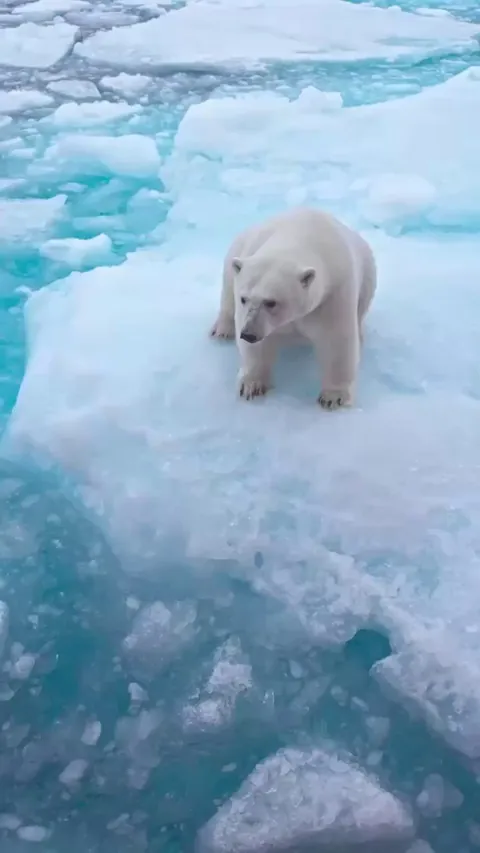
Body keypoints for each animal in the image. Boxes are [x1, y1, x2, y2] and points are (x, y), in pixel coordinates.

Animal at [210, 206, 376, 410]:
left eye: (271, 302)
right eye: (244, 298)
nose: (248, 334)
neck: (299, 235)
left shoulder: (333, 293)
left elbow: (337, 340)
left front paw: (333, 398)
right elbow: (257, 348)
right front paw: (251, 386)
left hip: (368, 271)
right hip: (236, 251)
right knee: (227, 289)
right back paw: (222, 330)